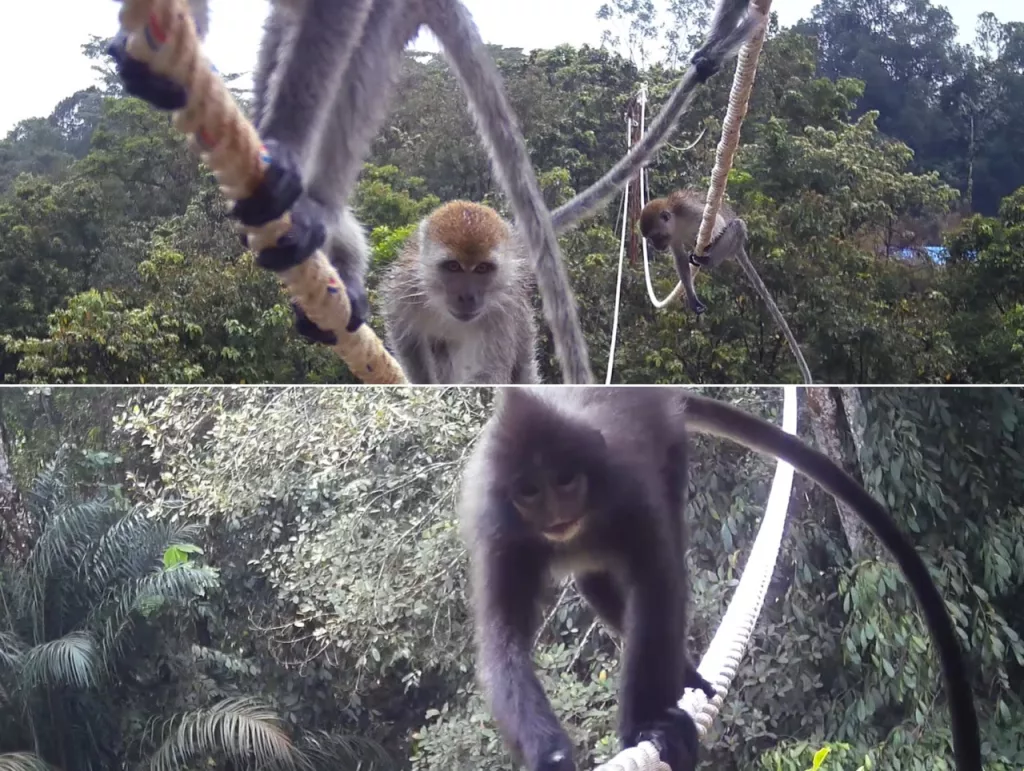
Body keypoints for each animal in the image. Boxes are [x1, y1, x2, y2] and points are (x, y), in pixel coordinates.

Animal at [382, 199, 544, 382]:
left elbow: (488, 372)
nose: (467, 297)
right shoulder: (404, 288)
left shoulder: (502, 312)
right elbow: (407, 341)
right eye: (453, 266)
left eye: (482, 268)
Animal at [460, 387, 978, 769]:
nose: (556, 512)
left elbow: (658, 587)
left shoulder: (629, 496)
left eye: (565, 480)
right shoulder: (504, 537)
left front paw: (641, 727)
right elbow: (502, 641)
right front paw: (550, 754)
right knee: (598, 581)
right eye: (530, 490)